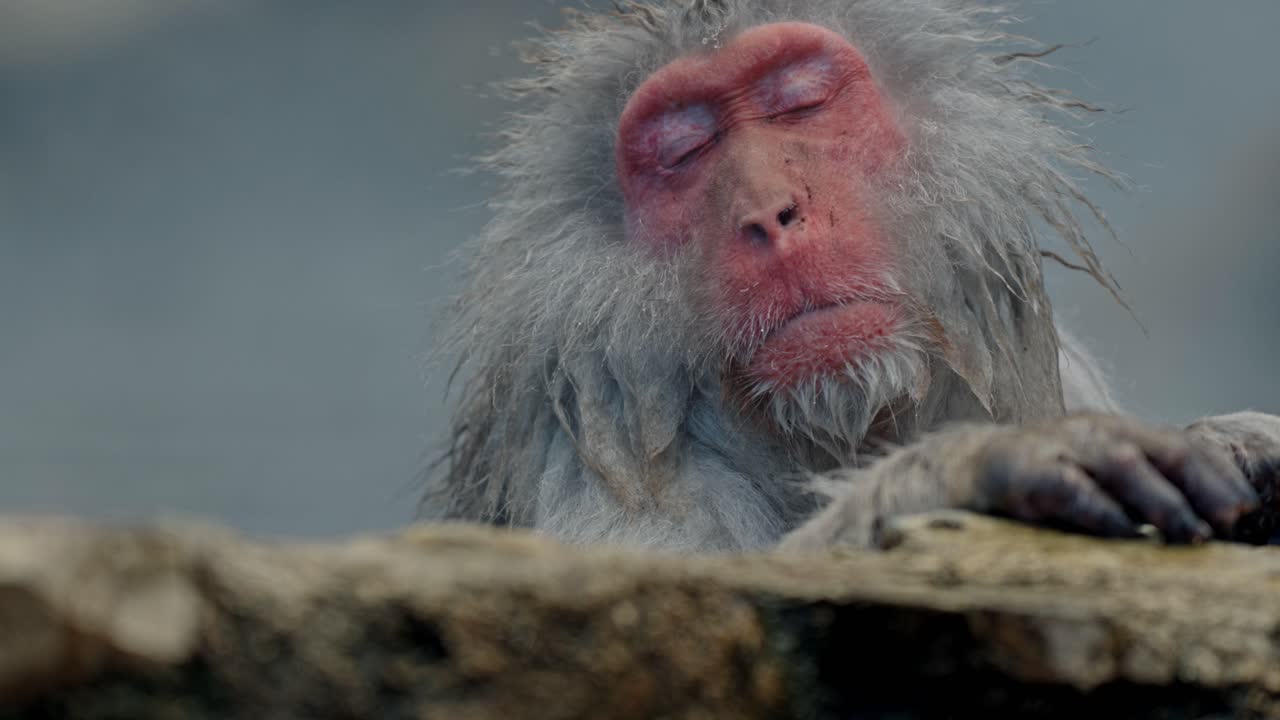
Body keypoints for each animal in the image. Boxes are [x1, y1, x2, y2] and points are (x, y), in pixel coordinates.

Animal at [423, 0, 1280, 553]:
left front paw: (1230, 439)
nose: (772, 215)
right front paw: (986, 467)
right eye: (682, 152)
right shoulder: (614, 467)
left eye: (802, 101)